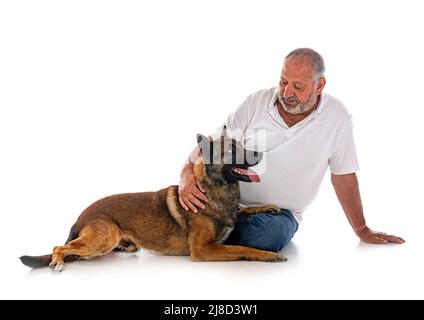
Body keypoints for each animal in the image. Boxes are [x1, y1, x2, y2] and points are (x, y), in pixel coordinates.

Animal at [19, 129, 284, 270]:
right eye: (231, 150)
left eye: (240, 145)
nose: (260, 153)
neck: (215, 190)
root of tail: (81, 215)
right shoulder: (204, 249)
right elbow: (242, 247)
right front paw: (268, 255)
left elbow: (243, 210)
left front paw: (269, 207)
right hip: (105, 237)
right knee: (58, 247)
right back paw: (57, 261)